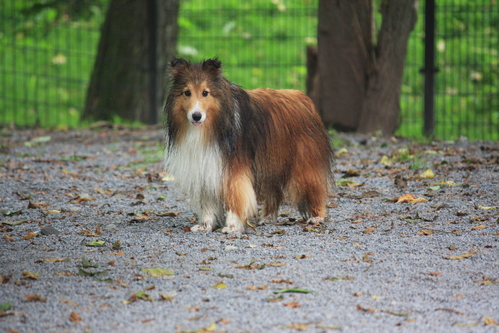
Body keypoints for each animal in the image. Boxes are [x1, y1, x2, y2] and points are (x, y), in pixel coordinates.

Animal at [166, 57, 334, 233]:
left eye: (205, 92)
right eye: (187, 92)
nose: (196, 116)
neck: (213, 125)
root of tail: (304, 98)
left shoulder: (233, 169)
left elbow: (235, 196)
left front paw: (232, 226)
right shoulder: (206, 166)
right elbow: (207, 202)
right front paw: (206, 225)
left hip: (304, 162)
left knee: (315, 188)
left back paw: (316, 217)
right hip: (270, 161)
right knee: (275, 192)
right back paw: (268, 218)